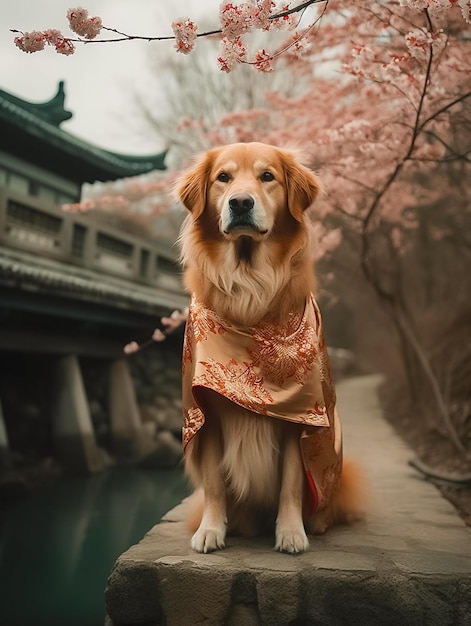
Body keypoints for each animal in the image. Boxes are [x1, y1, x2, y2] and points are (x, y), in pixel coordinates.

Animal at [177, 141, 366, 552]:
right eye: (224, 177)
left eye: (267, 176)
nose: (240, 203)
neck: (249, 289)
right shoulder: (206, 410)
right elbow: (213, 483)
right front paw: (211, 530)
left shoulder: (298, 417)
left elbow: (291, 484)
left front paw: (291, 532)